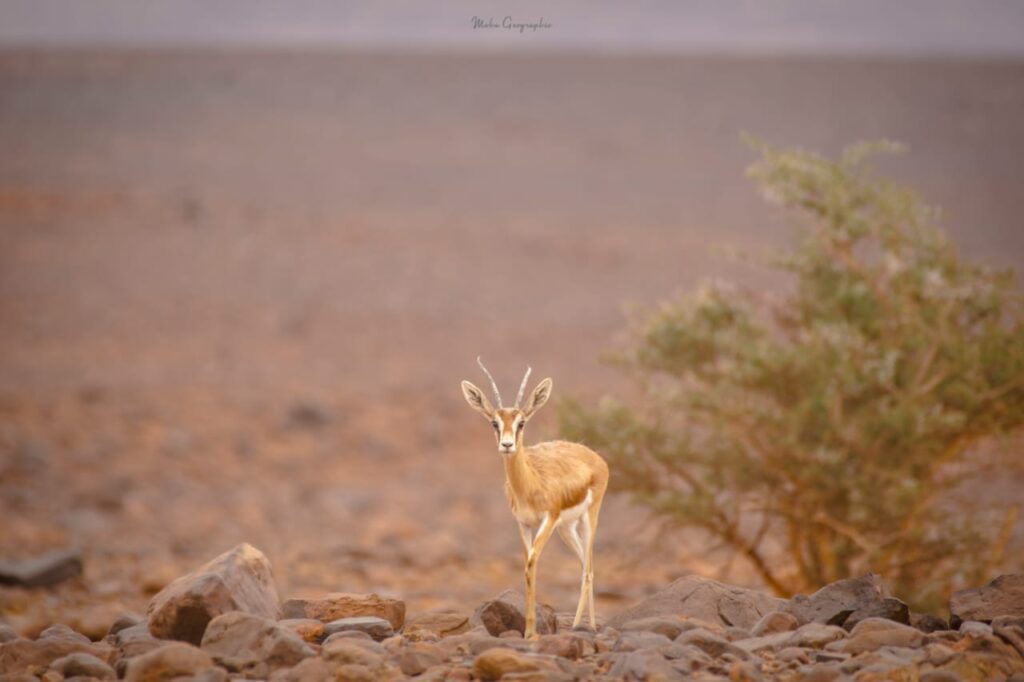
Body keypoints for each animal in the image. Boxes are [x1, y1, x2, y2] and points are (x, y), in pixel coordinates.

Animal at [461, 358, 609, 638]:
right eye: (495, 423)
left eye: (521, 423)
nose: (507, 445)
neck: (530, 484)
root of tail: (593, 455)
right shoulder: (523, 523)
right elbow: (527, 567)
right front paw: (529, 631)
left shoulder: (548, 520)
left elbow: (532, 563)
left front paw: (531, 633)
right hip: (566, 528)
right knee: (585, 566)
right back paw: (583, 624)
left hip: (589, 518)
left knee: (589, 568)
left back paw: (586, 626)